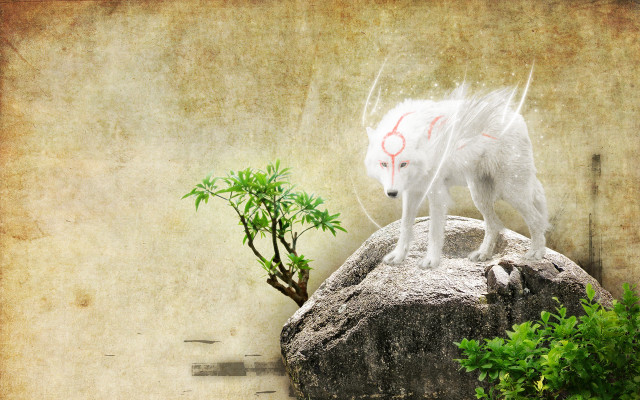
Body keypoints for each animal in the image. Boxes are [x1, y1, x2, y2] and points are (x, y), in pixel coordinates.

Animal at [364, 87, 549, 268]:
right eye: (384, 164)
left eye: (403, 164)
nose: (392, 193)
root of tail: (517, 117)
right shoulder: (412, 191)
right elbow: (405, 225)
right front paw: (398, 256)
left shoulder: (437, 193)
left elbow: (434, 231)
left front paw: (431, 261)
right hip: (479, 197)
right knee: (494, 225)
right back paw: (483, 254)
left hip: (511, 192)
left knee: (536, 219)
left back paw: (536, 253)